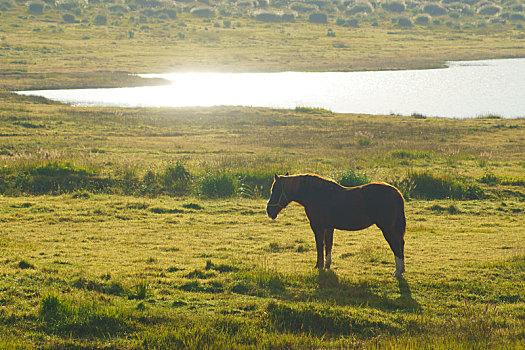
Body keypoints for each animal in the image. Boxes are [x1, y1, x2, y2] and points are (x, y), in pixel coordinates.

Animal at [266, 174, 406, 278]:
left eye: (275, 190)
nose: (269, 211)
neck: (316, 195)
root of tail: (396, 193)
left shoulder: (318, 227)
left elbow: (319, 245)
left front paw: (319, 266)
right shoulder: (328, 227)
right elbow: (328, 245)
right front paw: (327, 265)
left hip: (387, 228)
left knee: (395, 244)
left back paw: (398, 272)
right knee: (400, 243)